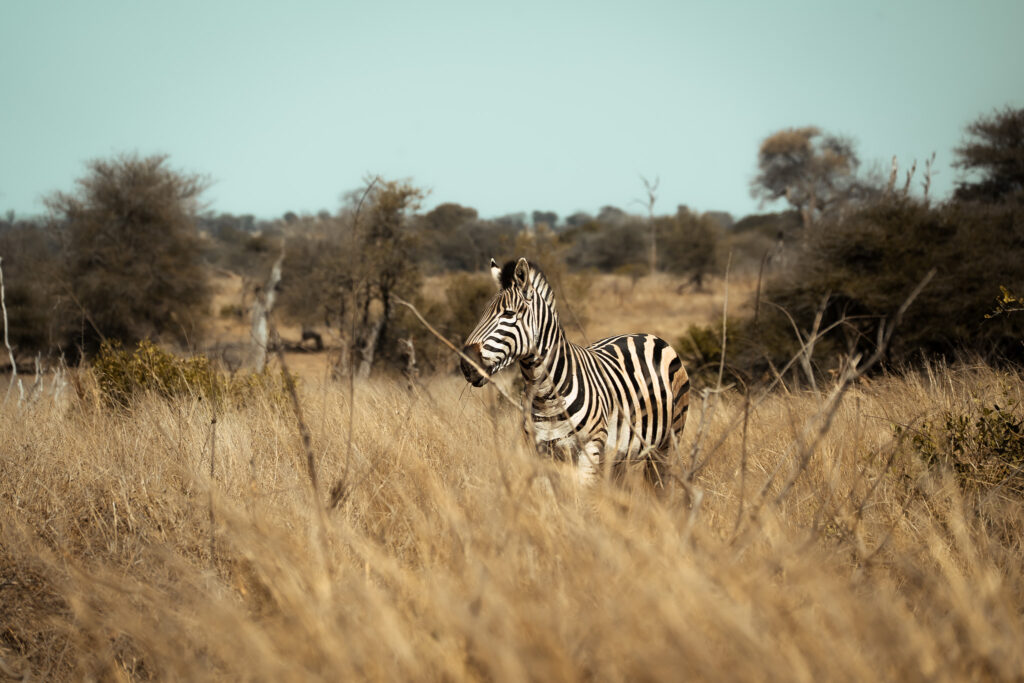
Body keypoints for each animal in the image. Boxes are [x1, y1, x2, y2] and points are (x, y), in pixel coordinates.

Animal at [460, 257, 690, 485]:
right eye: (482, 314)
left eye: (508, 314)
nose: (466, 364)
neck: (546, 395)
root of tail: (646, 334)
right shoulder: (541, 450)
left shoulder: (590, 448)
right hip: (621, 454)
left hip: (669, 441)